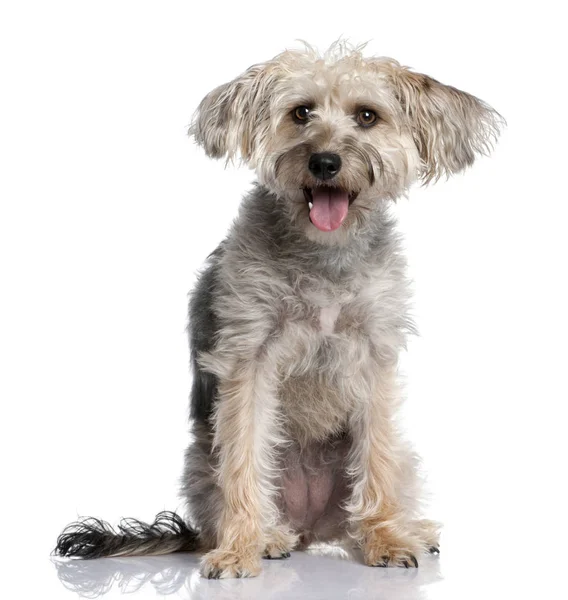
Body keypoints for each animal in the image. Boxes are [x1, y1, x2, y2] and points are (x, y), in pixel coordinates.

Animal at [55, 41, 504, 576]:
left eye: (367, 116)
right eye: (301, 113)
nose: (325, 161)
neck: (324, 256)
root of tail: (310, 527)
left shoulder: (375, 357)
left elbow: (376, 456)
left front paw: (387, 537)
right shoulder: (249, 355)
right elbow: (245, 455)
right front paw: (240, 547)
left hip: (400, 460)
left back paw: (400, 529)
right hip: (201, 461)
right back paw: (267, 536)